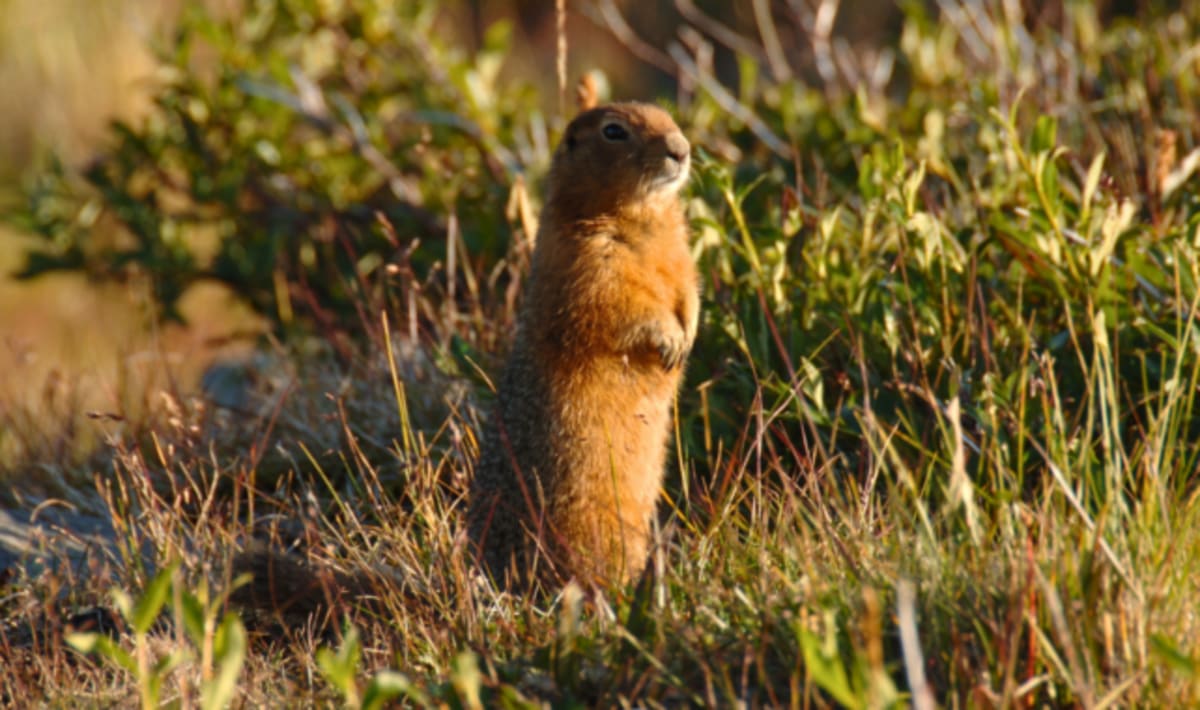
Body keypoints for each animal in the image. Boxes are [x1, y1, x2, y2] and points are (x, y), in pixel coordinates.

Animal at [467, 100, 699, 591]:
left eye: (668, 116)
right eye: (613, 131)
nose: (681, 149)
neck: (641, 218)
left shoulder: (681, 254)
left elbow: (689, 287)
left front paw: (687, 334)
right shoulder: (590, 261)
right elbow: (618, 305)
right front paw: (669, 340)